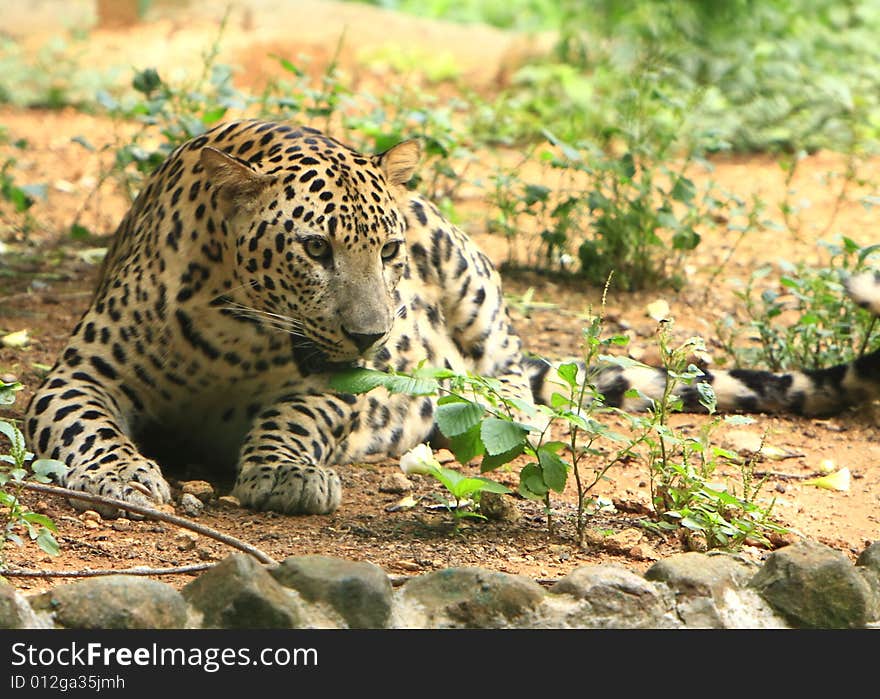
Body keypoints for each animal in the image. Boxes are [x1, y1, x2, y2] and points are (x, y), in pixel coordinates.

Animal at [18, 117, 880, 516]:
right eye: (314, 249)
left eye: (387, 250)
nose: (371, 334)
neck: (231, 330)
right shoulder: (78, 373)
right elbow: (87, 423)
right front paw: (124, 473)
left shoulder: (347, 383)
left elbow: (296, 414)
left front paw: (288, 473)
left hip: (466, 268)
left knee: (512, 371)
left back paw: (487, 408)